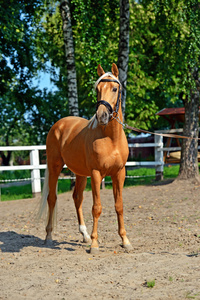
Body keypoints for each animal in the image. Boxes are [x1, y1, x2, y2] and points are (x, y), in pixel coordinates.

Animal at [39, 63, 133, 253]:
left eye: (114, 88)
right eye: (97, 89)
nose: (102, 116)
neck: (111, 138)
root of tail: (59, 125)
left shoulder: (119, 173)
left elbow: (119, 206)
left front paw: (125, 241)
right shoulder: (96, 174)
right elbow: (97, 208)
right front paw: (95, 245)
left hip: (81, 174)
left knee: (77, 198)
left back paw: (85, 235)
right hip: (54, 167)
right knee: (52, 198)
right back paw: (49, 236)